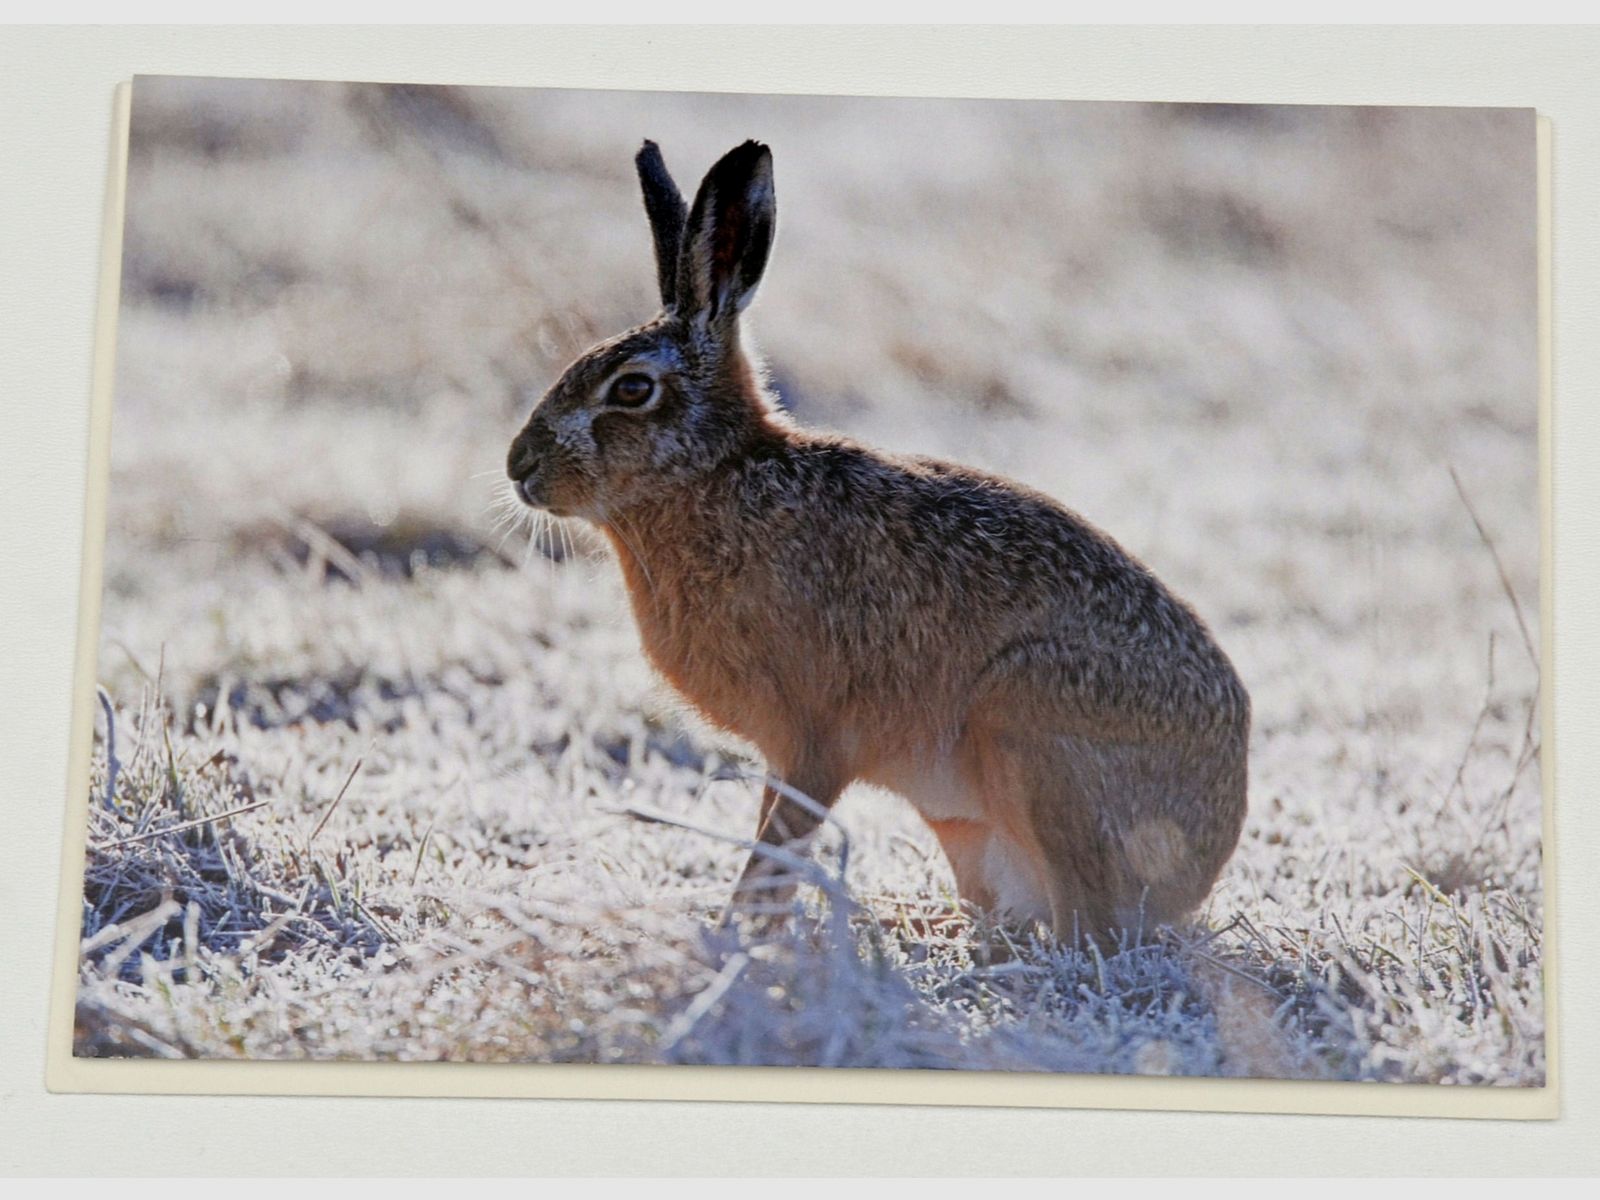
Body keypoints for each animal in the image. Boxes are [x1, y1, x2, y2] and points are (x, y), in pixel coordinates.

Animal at [506, 139, 1250, 942]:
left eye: (632, 389)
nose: (519, 466)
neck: (717, 475)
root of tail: (1206, 856)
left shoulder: (815, 742)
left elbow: (775, 852)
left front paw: (735, 936)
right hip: (964, 813)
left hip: (1030, 729)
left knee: (1090, 925)